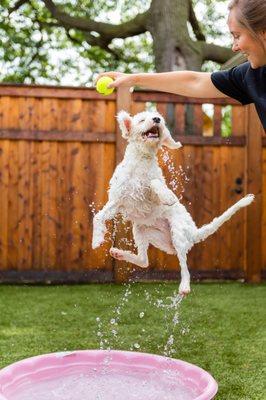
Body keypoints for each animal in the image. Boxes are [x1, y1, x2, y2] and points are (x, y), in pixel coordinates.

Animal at [92, 111, 255, 296]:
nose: (157, 119)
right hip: (142, 231)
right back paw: (119, 254)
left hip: (177, 233)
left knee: (184, 266)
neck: (141, 160)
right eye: (142, 120)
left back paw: (184, 286)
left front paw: (168, 197)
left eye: (158, 118)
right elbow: (98, 217)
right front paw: (96, 240)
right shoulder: (117, 201)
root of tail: (194, 232)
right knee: (144, 260)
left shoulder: (151, 193)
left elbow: (154, 182)